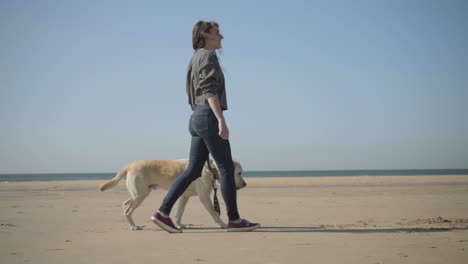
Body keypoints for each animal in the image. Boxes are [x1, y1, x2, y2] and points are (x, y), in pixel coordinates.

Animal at [98, 159, 245, 231]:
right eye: (239, 173)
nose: (244, 184)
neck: (210, 169)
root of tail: (129, 165)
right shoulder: (204, 198)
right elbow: (215, 214)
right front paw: (223, 224)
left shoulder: (184, 197)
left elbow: (179, 212)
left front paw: (179, 225)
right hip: (141, 194)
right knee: (128, 210)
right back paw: (134, 226)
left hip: (138, 193)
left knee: (125, 204)